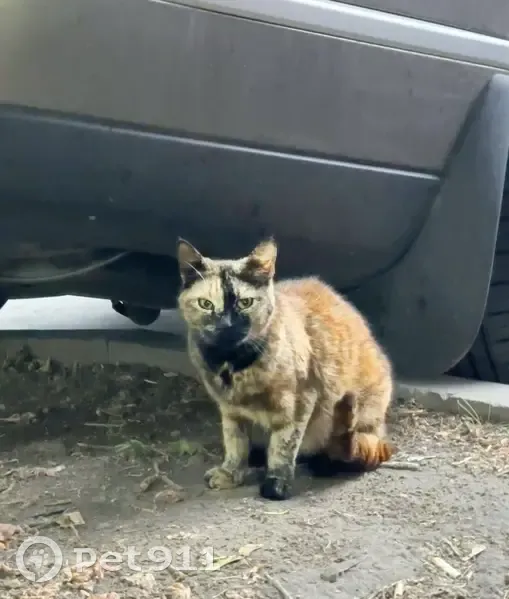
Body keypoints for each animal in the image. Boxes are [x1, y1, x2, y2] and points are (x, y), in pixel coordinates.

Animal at [176, 236, 395, 500]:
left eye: (245, 303)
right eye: (205, 304)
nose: (226, 325)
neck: (233, 366)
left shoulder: (299, 403)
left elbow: (283, 445)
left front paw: (276, 483)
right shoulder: (230, 410)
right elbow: (235, 442)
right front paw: (231, 472)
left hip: (361, 425)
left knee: (350, 452)